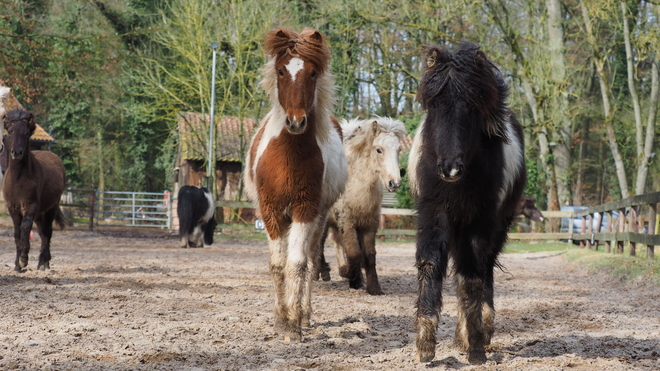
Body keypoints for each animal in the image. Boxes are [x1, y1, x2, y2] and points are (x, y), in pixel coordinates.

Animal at [2, 109, 66, 272]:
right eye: (10, 132)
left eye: (26, 133)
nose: (16, 153)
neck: (18, 179)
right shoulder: (12, 207)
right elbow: (17, 232)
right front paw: (17, 265)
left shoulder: (31, 205)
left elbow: (25, 226)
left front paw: (24, 259)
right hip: (40, 213)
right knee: (42, 232)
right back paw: (43, 262)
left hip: (50, 208)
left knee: (47, 233)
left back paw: (43, 263)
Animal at [241, 27, 346, 344]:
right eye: (280, 71)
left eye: (312, 73)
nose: (296, 122)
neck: (288, 155)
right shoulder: (271, 211)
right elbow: (277, 266)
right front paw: (280, 321)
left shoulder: (305, 210)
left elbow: (297, 265)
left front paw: (293, 325)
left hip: (319, 219)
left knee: (309, 261)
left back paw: (304, 315)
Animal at [314, 117, 408, 296]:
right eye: (379, 150)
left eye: (399, 149)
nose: (394, 183)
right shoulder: (347, 222)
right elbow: (354, 252)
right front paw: (348, 274)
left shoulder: (369, 224)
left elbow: (369, 255)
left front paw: (372, 287)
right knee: (319, 243)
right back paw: (320, 272)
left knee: (336, 243)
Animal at [408, 44, 524, 366]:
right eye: (434, 105)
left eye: (472, 107)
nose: (450, 168)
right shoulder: (433, 212)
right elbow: (430, 264)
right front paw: (425, 346)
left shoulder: (481, 218)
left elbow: (472, 276)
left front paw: (475, 347)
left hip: (497, 225)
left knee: (483, 270)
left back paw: (480, 332)